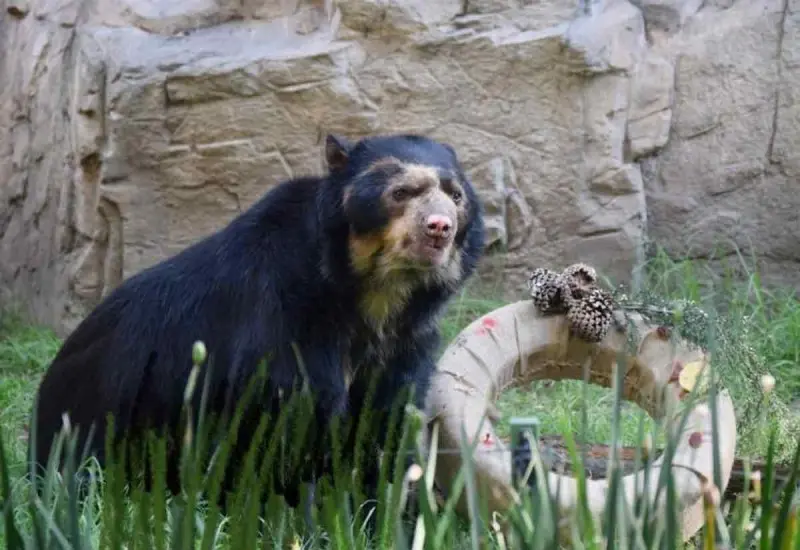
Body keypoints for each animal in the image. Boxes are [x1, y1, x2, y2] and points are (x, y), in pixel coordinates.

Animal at [28, 132, 486, 515]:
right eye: (400, 193)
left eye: (456, 196)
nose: (439, 228)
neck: (376, 297)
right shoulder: (286, 319)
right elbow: (291, 424)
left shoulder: (406, 343)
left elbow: (384, 428)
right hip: (100, 426)